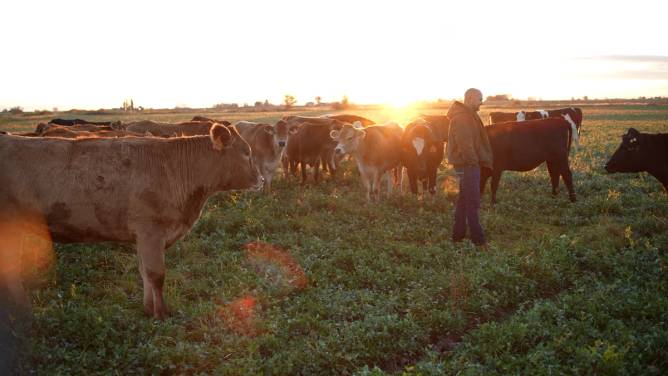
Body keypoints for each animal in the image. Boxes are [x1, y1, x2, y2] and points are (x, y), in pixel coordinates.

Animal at [0, 125, 260, 318]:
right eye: (246, 152)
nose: (262, 179)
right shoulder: (150, 231)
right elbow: (156, 274)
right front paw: (161, 314)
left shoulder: (142, 237)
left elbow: (144, 272)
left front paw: (148, 310)